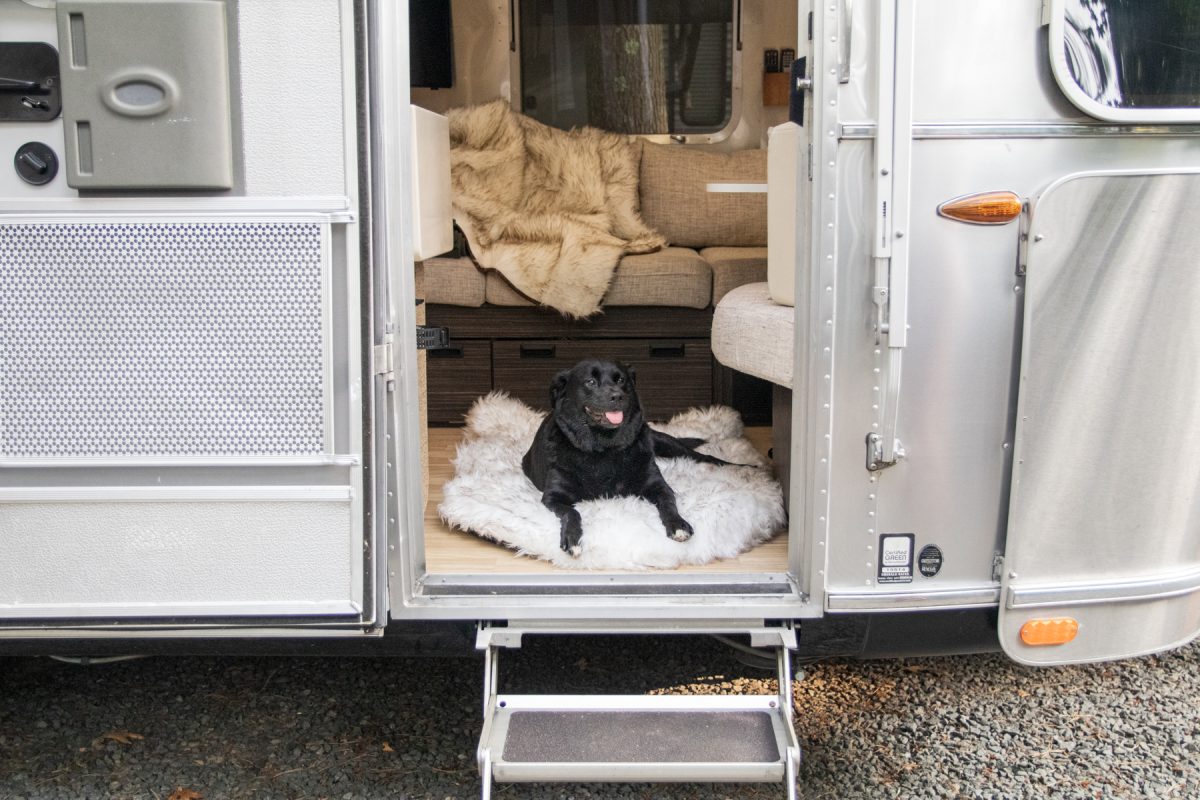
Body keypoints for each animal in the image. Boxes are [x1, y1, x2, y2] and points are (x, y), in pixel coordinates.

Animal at [523, 357, 739, 554]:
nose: (617, 396)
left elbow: (669, 503)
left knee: (704, 457)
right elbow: (571, 512)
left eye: (621, 380)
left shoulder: (658, 485)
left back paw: (741, 467)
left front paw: (678, 525)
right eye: (590, 382)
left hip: (667, 443)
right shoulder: (553, 497)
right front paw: (573, 539)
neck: (603, 447)